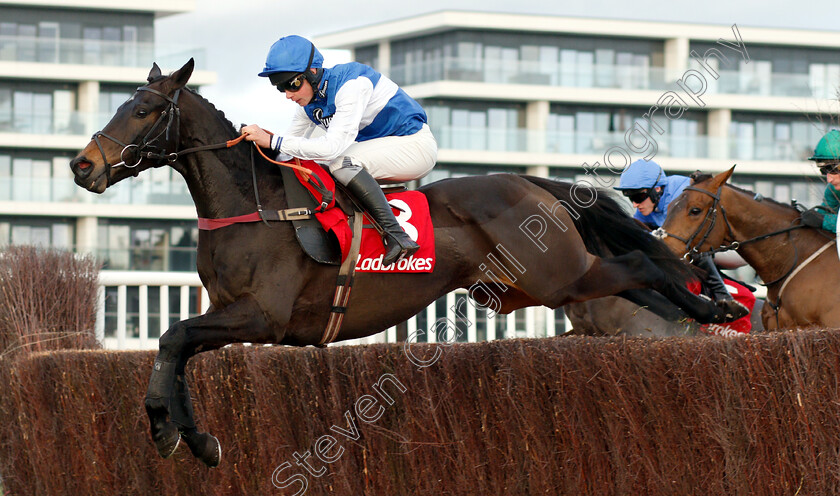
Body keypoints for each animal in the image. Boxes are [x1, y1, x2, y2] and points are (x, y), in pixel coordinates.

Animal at [69, 60, 732, 466]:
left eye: (145, 110)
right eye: (124, 104)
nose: (82, 166)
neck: (253, 205)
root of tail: (529, 184)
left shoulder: (263, 317)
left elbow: (173, 337)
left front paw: (173, 432)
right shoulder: (228, 311)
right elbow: (174, 346)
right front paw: (192, 438)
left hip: (559, 277)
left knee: (644, 266)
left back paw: (712, 304)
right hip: (549, 283)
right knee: (637, 277)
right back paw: (706, 306)